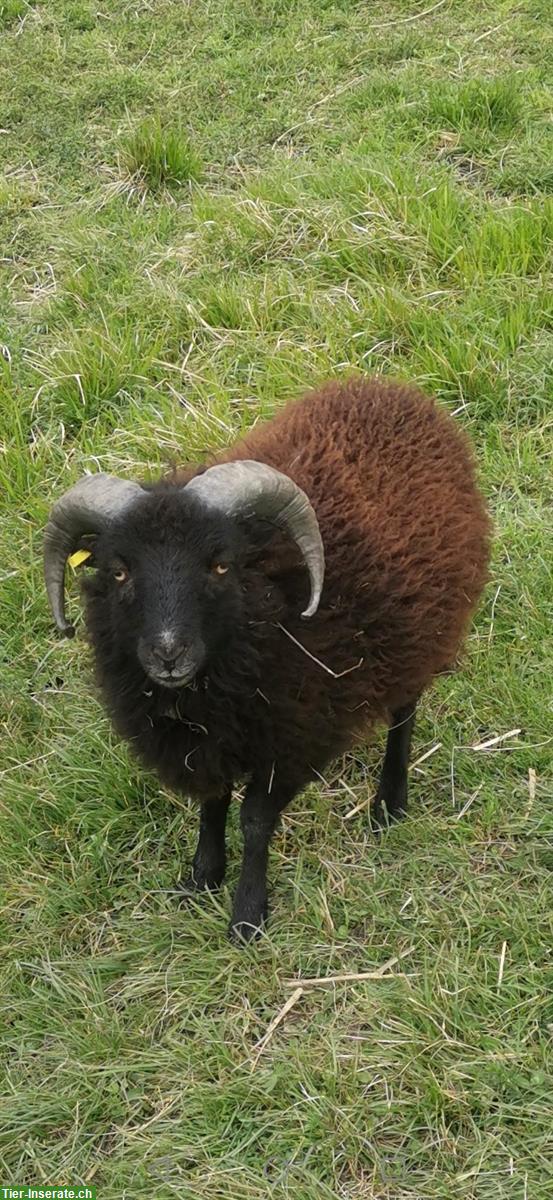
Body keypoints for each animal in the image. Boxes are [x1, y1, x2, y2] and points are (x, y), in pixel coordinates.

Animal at [45, 374, 489, 936]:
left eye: (219, 565)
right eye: (118, 571)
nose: (168, 653)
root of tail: (393, 391)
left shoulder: (291, 734)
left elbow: (255, 820)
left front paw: (247, 915)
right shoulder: (207, 742)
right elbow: (212, 803)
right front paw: (203, 877)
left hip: (421, 628)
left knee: (404, 713)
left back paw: (389, 803)